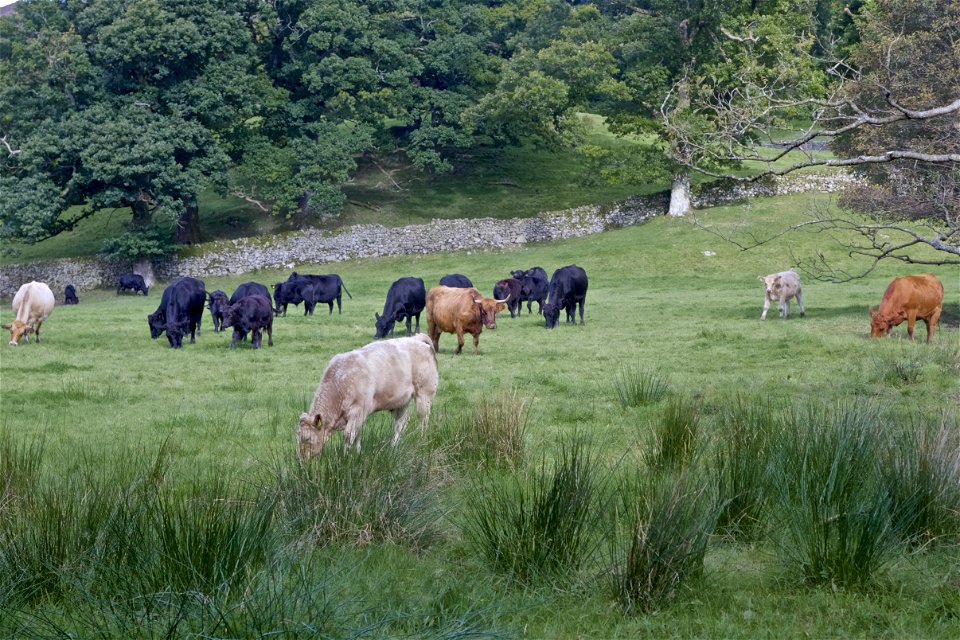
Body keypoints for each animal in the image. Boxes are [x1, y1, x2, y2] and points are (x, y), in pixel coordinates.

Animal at [298, 332, 440, 458]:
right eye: (298, 439)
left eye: (308, 439)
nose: (301, 460)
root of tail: (416, 339)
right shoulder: (358, 416)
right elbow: (357, 435)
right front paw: (357, 454)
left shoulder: (358, 410)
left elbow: (348, 436)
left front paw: (344, 459)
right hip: (402, 401)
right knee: (401, 423)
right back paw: (393, 447)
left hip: (424, 395)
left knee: (423, 420)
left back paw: (421, 441)